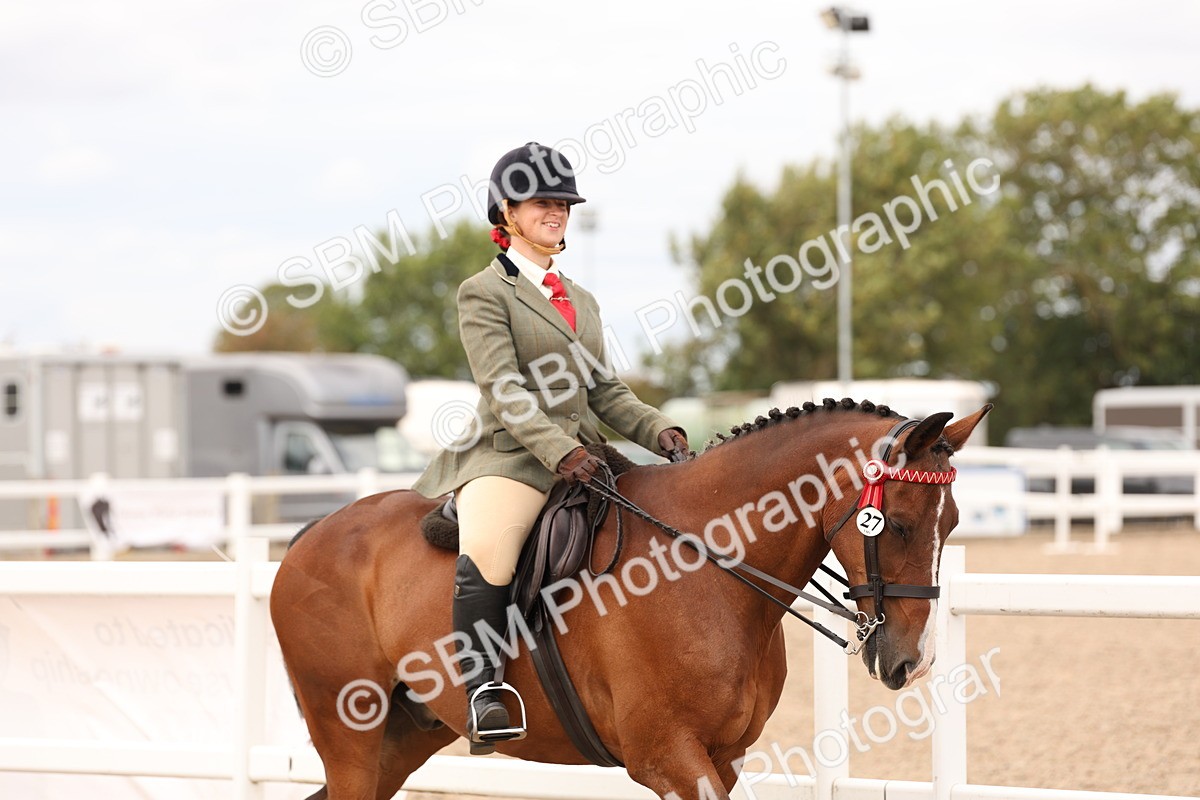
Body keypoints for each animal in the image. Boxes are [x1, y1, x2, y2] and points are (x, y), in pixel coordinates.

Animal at [270, 398, 991, 800]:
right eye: (897, 524)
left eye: (953, 525)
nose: (910, 661)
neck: (705, 565)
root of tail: (308, 539)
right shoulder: (666, 756)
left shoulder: (722, 758)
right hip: (350, 733)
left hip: (403, 736)